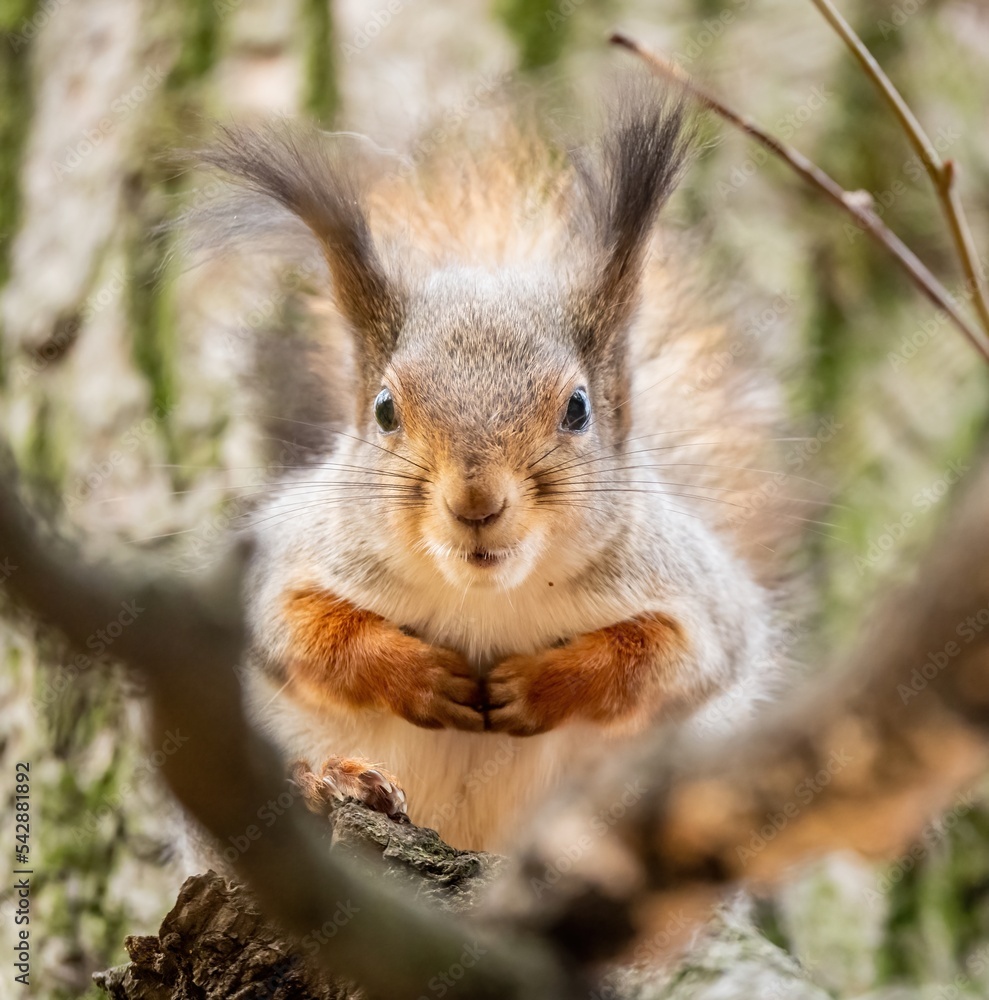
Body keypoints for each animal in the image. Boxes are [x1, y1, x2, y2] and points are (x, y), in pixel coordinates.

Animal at [188, 80, 788, 854]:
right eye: (385, 409)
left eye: (577, 408)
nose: (475, 502)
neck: (485, 599)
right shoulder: (285, 559)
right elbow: (301, 629)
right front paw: (419, 675)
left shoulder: (699, 598)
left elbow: (664, 657)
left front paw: (534, 687)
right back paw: (332, 780)